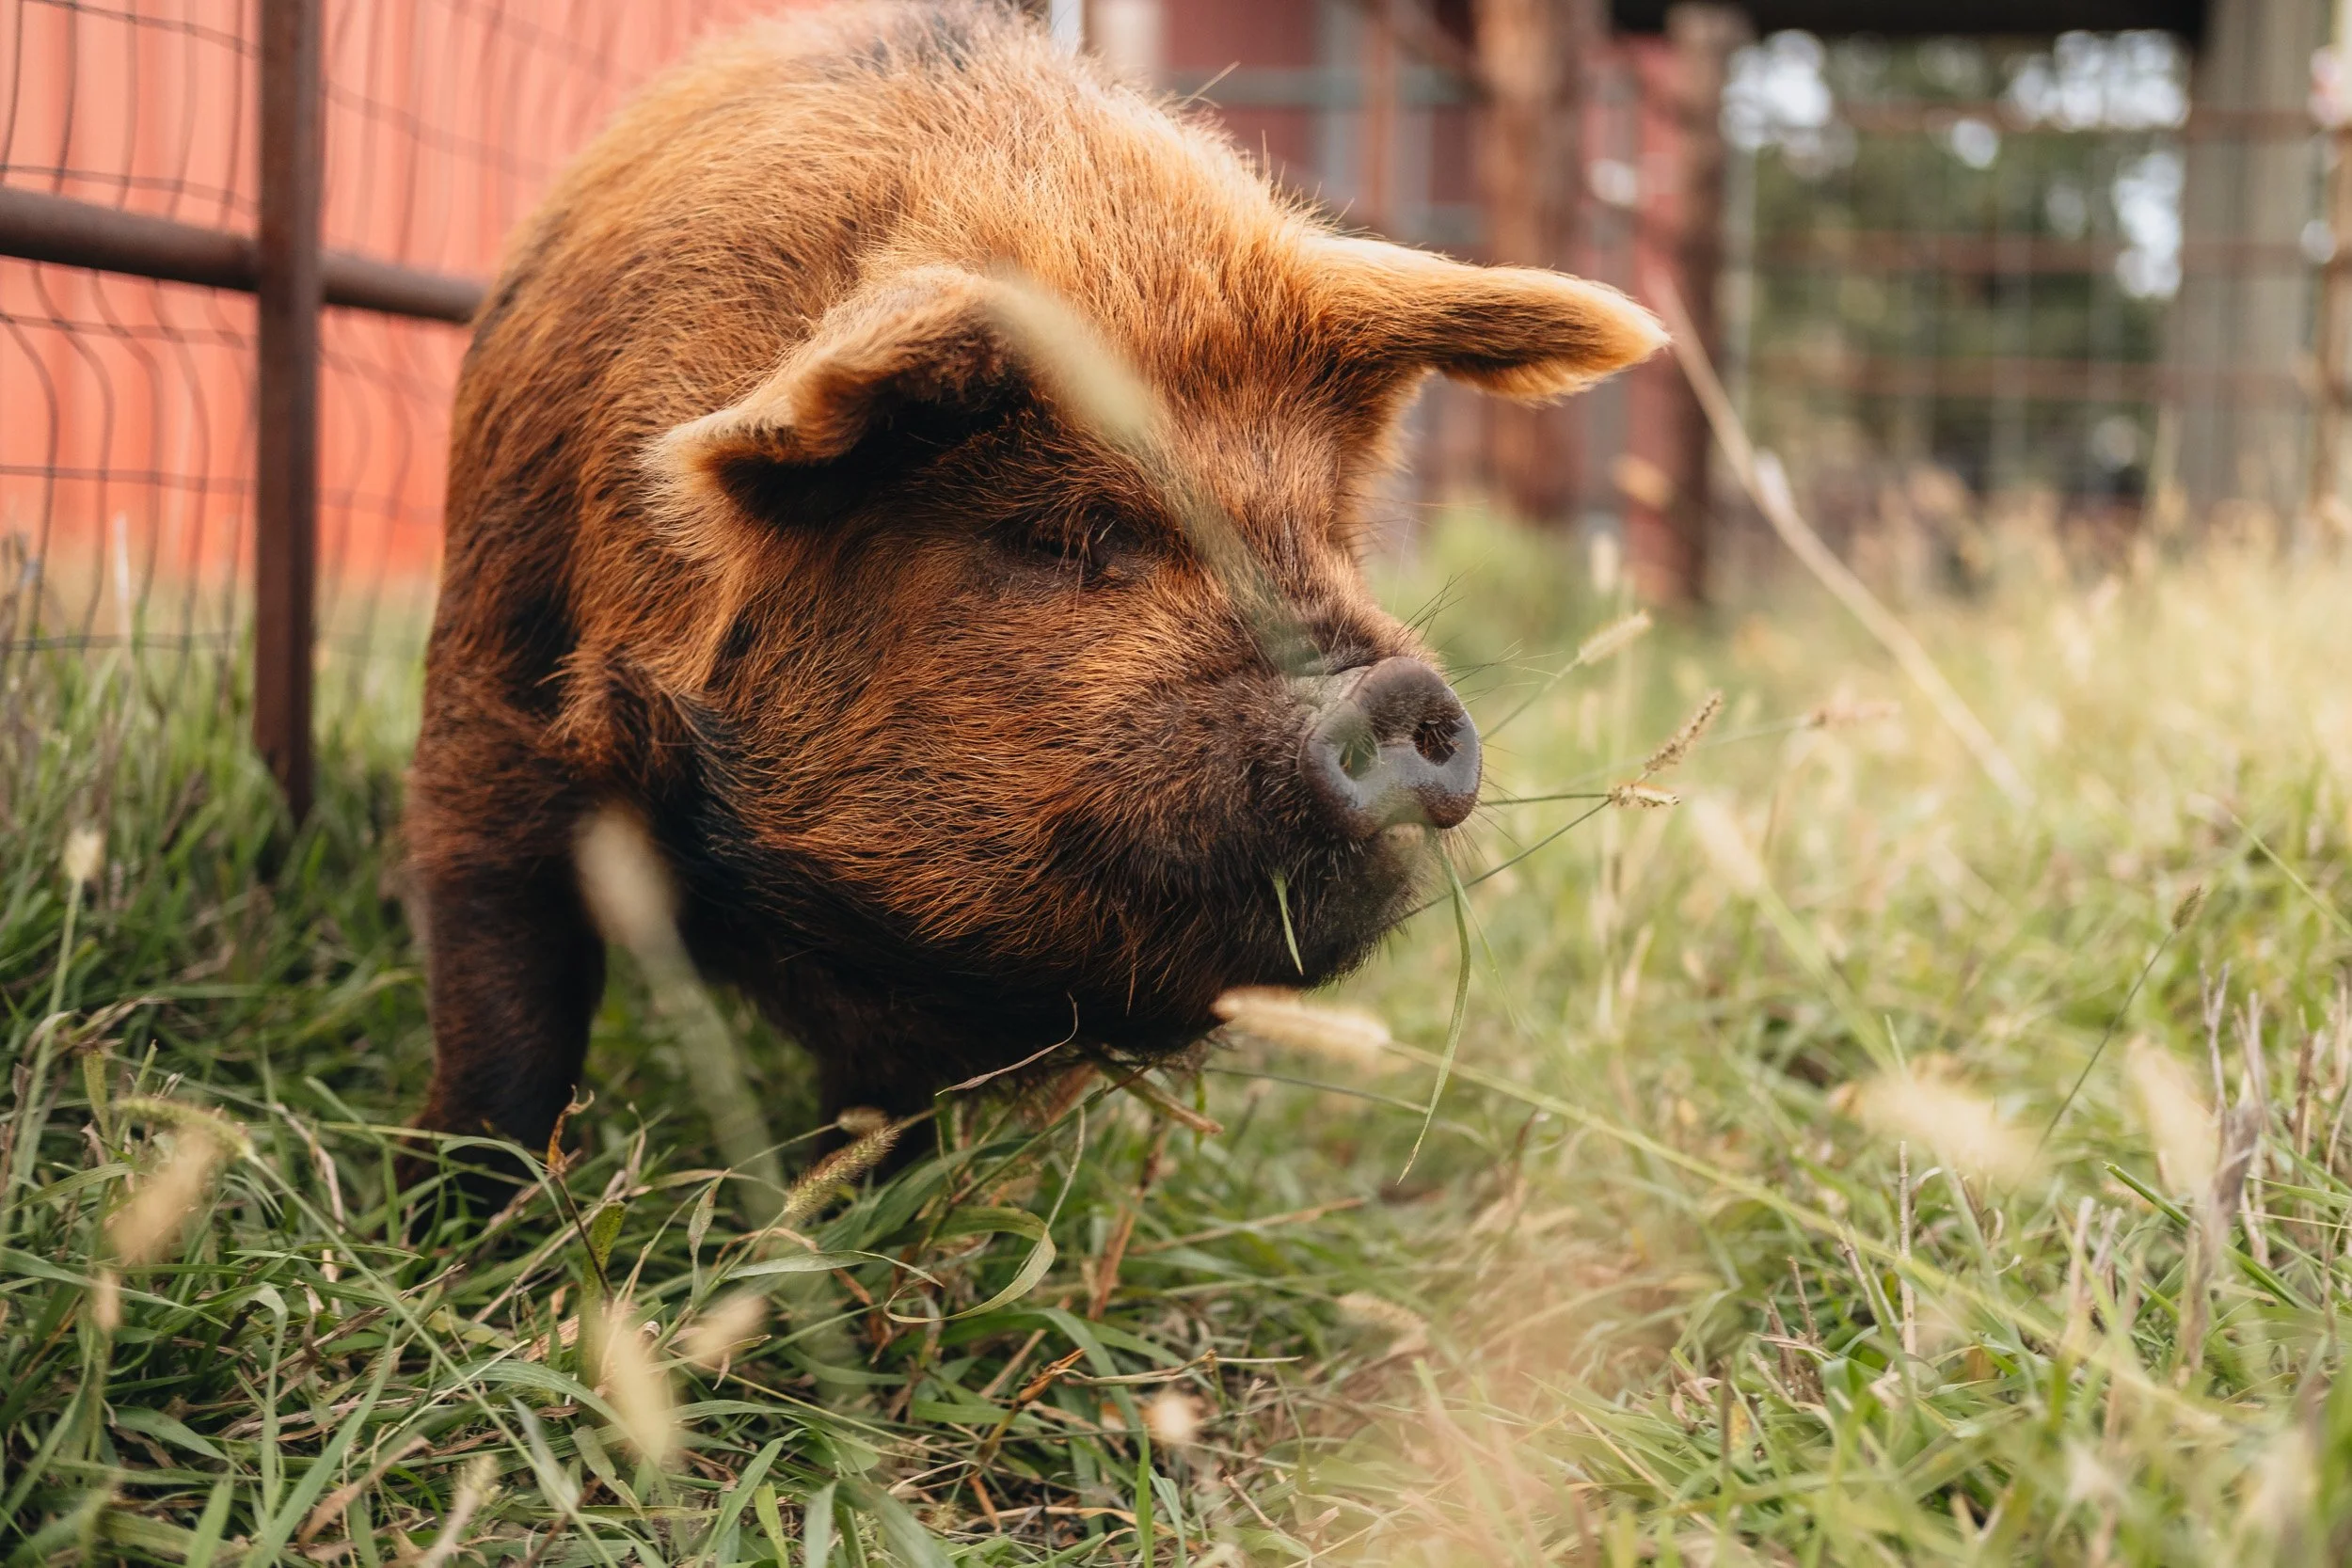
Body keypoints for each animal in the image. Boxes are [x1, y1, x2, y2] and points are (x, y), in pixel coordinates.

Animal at [404, 0, 1662, 1189]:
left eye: (1330, 533)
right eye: (1073, 533)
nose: (1393, 686)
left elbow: (874, 1121)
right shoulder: (490, 723)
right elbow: (507, 1005)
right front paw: (473, 1222)